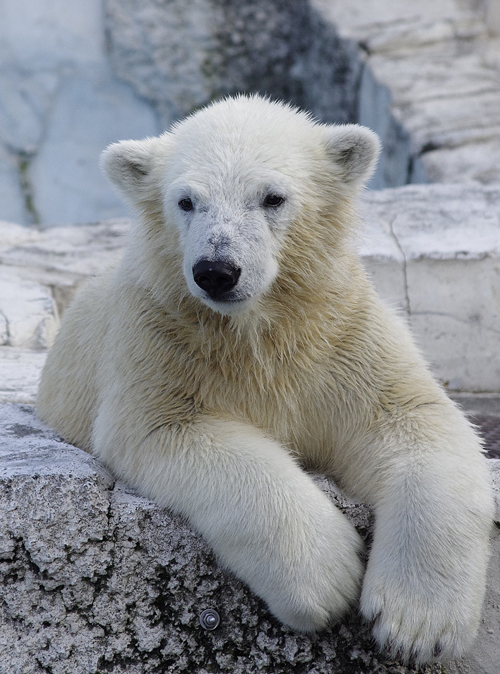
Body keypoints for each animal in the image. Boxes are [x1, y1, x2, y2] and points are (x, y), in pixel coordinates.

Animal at [37, 93, 494, 660]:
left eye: (273, 198)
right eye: (186, 201)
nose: (216, 270)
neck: (256, 332)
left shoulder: (342, 339)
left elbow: (408, 416)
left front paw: (418, 625)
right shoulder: (159, 339)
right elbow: (172, 428)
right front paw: (329, 577)